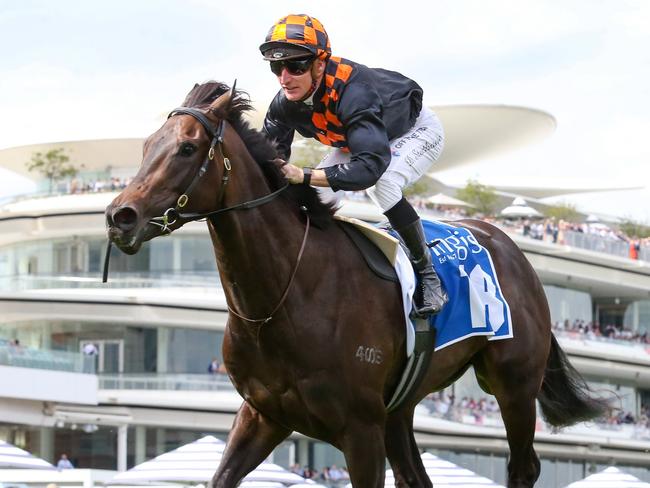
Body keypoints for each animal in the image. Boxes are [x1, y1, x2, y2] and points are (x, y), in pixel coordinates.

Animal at [105, 82, 608, 486]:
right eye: (148, 145)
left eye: (187, 149)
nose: (119, 216)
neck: (285, 295)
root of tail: (507, 244)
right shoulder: (263, 415)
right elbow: (221, 476)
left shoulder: (359, 429)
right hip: (401, 410)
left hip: (513, 383)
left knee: (524, 467)